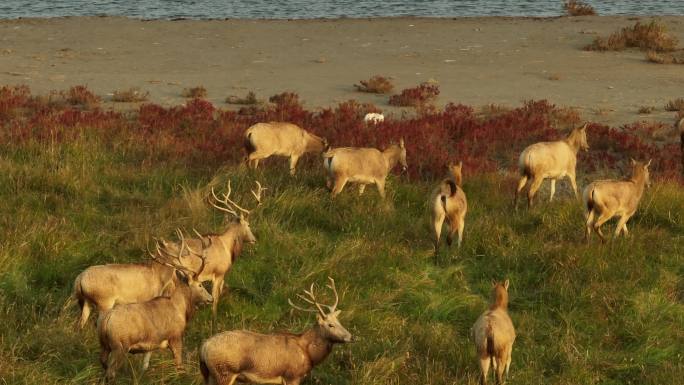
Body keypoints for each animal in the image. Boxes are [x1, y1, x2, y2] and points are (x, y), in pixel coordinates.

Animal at [96, 232, 212, 382]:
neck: (180, 309)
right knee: (110, 372)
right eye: (200, 285)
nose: (211, 298)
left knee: (103, 364)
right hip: (119, 346)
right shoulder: (175, 336)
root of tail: (105, 321)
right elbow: (179, 366)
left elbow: (146, 363)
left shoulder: (152, 344)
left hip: (104, 345)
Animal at [162, 180, 264, 318]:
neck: (227, 246)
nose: (254, 239)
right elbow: (215, 298)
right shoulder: (219, 273)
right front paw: (214, 317)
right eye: (248, 224)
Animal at [198, 276, 352, 384]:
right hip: (224, 372)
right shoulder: (292, 375)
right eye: (330, 325)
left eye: (339, 321)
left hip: (208, 374)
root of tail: (203, 348)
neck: (308, 353)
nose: (351, 336)